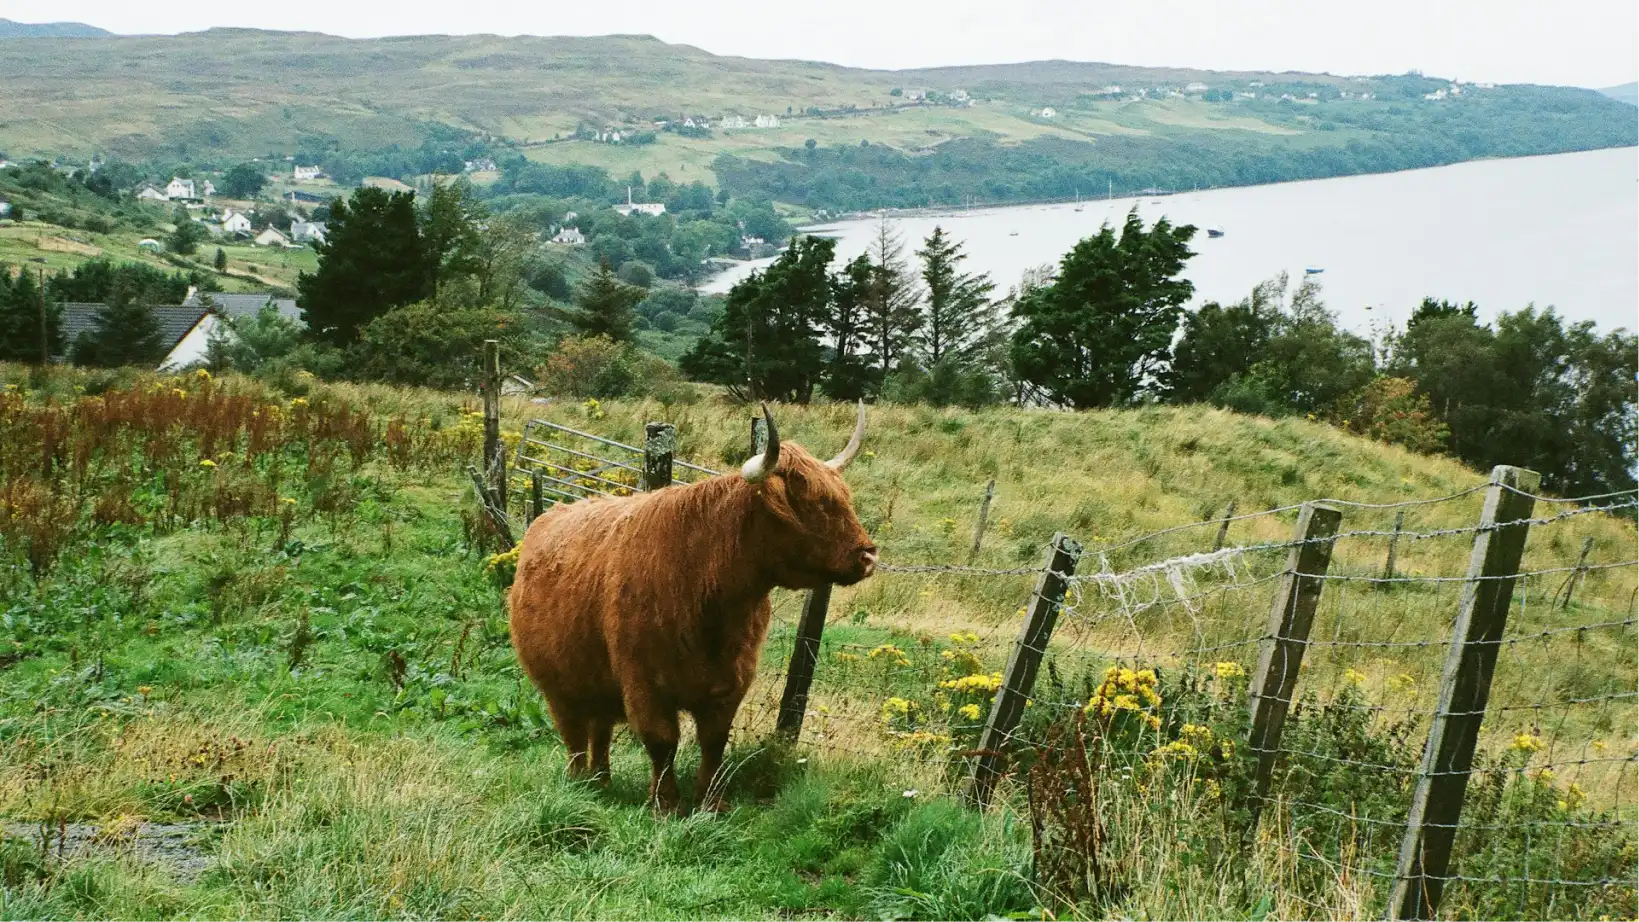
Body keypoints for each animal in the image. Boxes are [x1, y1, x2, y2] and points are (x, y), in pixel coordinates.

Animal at [508, 403, 877, 813]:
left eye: (844, 496)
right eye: (811, 502)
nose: (867, 556)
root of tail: (549, 516)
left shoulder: (730, 682)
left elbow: (713, 742)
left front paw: (711, 802)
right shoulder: (644, 683)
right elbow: (662, 741)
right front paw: (666, 804)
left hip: (599, 681)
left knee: (600, 731)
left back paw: (601, 781)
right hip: (558, 684)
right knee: (573, 735)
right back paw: (579, 783)